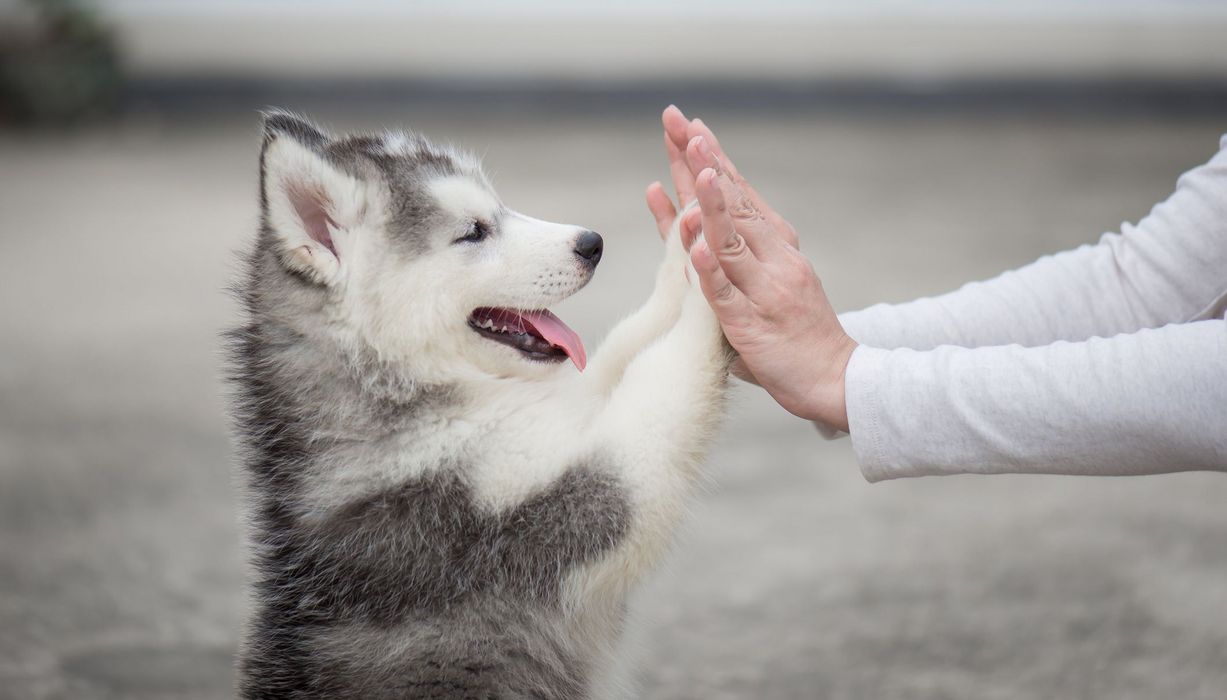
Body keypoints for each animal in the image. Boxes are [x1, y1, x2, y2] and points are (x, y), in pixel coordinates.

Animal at [229, 111, 726, 692]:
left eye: (499, 208)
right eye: (473, 231)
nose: (592, 243)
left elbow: (622, 347)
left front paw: (687, 243)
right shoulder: (549, 507)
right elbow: (662, 376)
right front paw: (716, 278)